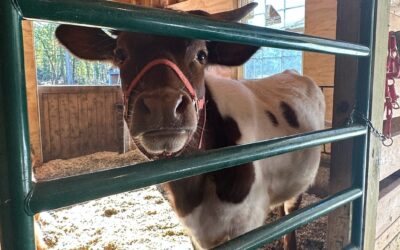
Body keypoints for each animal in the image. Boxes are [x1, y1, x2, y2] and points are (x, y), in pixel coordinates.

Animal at [53, 2, 326, 249]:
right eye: (121, 54)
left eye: (201, 55)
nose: (163, 105)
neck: (191, 188)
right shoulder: (194, 231)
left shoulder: (246, 223)